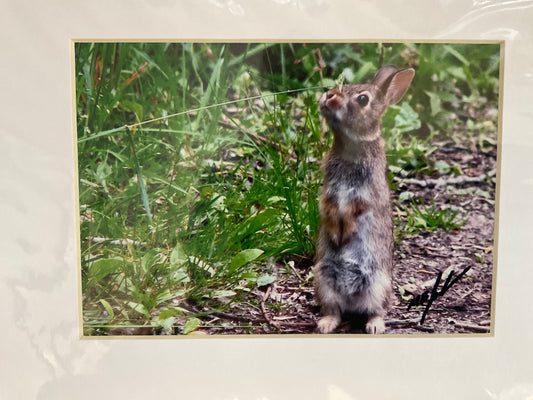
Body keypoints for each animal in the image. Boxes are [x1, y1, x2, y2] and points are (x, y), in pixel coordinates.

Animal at [314, 65, 414, 334]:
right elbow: (328, 208)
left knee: (376, 310)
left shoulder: (365, 193)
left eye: (362, 99)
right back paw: (325, 324)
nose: (329, 95)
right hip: (323, 278)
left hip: (377, 283)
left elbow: (354, 210)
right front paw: (335, 234)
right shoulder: (329, 190)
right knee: (334, 310)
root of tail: (351, 300)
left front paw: (346, 233)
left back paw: (374, 326)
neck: (351, 144)